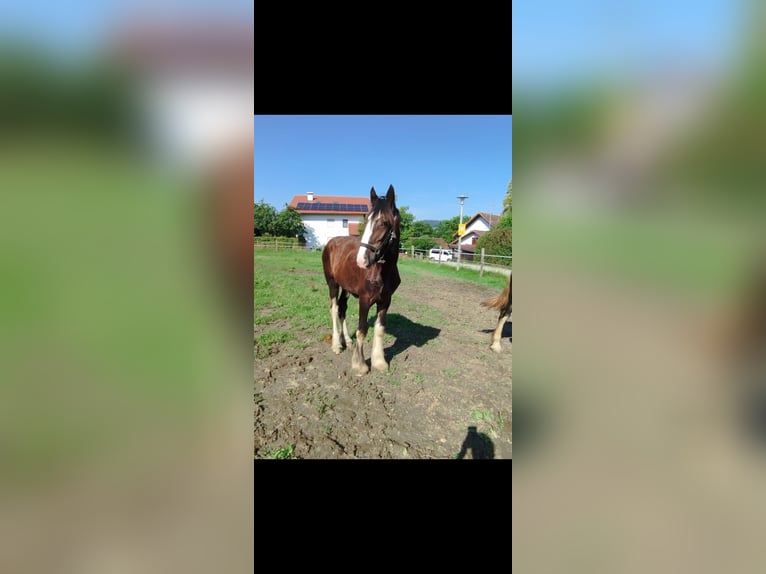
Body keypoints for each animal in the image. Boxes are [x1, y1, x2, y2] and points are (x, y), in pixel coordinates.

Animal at [320, 186, 402, 378]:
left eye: (384, 222)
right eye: (367, 219)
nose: (361, 260)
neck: (382, 272)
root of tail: (331, 242)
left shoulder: (385, 301)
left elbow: (379, 329)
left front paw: (379, 362)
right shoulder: (365, 300)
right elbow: (362, 330)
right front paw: (360, 365)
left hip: (346, 288)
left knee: (342, 308)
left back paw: (346, 341)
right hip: (332, 284)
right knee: (334, 308)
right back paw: (337, 344)